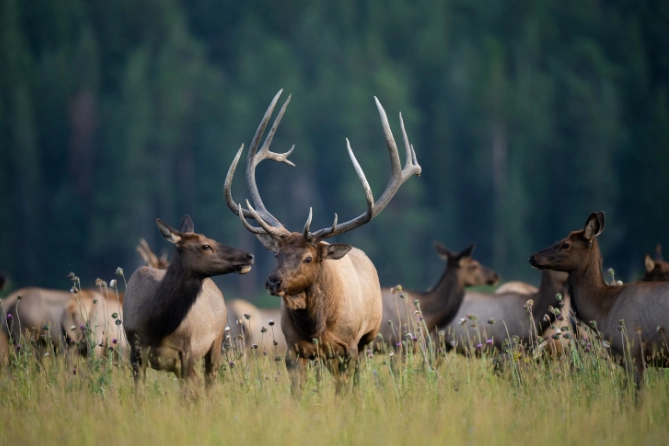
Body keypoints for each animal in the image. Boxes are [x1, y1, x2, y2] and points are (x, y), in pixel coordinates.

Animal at [122, 215, 254, 394]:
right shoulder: (135, 351)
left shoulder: (186, 352)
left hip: (217, 340)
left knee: (208, 380)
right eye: (206, 246)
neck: (157, 326)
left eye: (213, 240)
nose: (249, 255)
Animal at [224, 90, 421, 394]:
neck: (316, 326)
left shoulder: (349, 346)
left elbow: (345, 389)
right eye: (277, 255)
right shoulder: (293, 350)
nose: (273, 282)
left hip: (369, 336)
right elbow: (298, 391)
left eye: (308, 257)